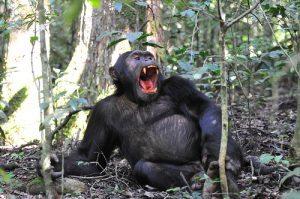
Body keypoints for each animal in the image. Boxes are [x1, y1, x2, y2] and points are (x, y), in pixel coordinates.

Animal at [50, 49, 243, 196]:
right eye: (136, 57)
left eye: (148, 55)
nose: (148, 58)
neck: (136, 99)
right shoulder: (100, 111)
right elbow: (91, 159)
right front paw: (54, 164)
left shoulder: (179, 85)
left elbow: (204, 108)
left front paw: (219, 154)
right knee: (145, 168)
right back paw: (204, 182)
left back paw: (221, 179)